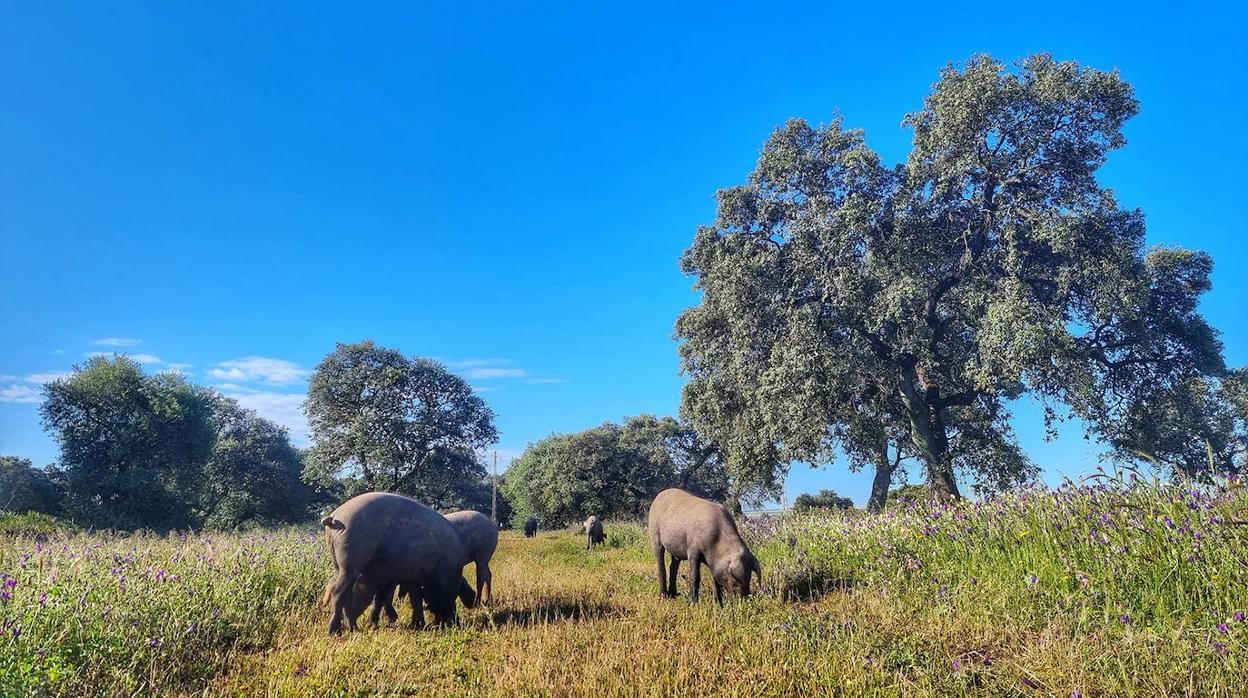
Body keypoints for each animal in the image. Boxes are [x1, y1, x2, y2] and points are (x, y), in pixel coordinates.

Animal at [321, 491, 471, 634]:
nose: (456, 623)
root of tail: (334, 517)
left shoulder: (407, 577)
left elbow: (408, 597)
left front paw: (417, 625)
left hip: (340, 564)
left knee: (339, 589)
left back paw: (353, 628)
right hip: (350, 561)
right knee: (338, 591)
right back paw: (335, 631)